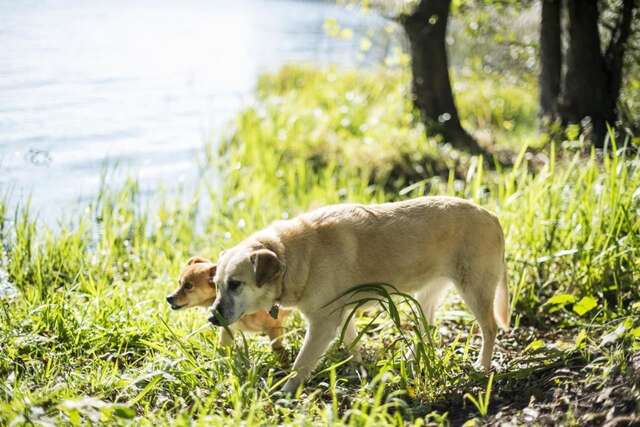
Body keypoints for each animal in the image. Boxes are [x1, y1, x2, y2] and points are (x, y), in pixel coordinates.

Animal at [209, 197, 510, 394]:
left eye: (235, 284)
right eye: (217, 285)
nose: (212, 318)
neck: (292, 256)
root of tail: (492, 216)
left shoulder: (322, 324)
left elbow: (301, 362)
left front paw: (286, 392)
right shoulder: (342, 315)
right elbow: (352, 344)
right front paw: (359, 370)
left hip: (474, 289)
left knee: (490, 328)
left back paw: (482, 366)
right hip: (428, 294)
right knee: (426, 328)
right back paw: (411, 358)